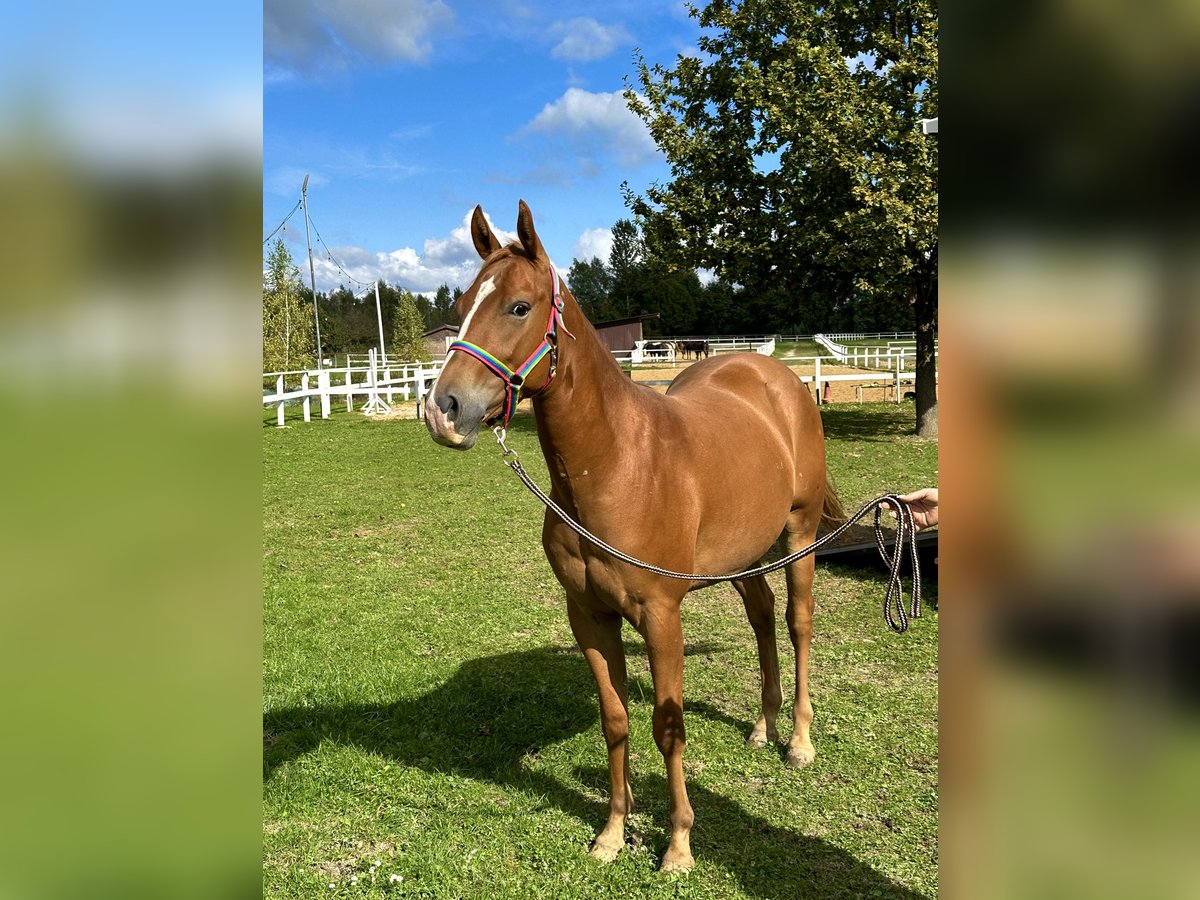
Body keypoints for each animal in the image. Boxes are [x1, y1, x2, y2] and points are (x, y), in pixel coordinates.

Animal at [424, 202, 844, 873]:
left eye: (518, 306)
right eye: (463, 302)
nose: (443, 410)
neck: (617, 466)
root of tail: (777, 377)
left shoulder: (661, 616)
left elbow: (668, 729)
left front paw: (678, 845)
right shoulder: (589, 616)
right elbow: (616, 721)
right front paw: (612, 834)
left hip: (797, 533)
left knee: (797, 622)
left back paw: (798, 741)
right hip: (742, 557)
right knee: (762, 617)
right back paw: (763, 726)